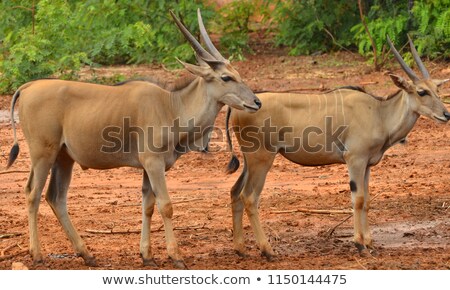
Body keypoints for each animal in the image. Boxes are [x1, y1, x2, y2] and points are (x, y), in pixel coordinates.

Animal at [6, 10, 260, 270]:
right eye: (226, 77)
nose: (256, 102)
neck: (171, 107)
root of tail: (28, 86)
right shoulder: (154, 163)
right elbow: (166, 206)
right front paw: (176, 256)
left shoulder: (149, 168)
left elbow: (148, 206)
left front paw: (147, 255)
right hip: (43, 154)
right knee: (32, 194)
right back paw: (37, 254)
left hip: (64, 158)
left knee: (56, 198)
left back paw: (87, 254)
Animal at [227, 35, 448, 260]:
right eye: (422, 92)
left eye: (437, 91)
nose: (446, 114)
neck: (379, 113)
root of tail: (241, 107)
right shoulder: (355, 160)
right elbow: (358, 199)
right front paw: (360, 244)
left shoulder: (367, 165)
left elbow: (367, 200)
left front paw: (370, 242)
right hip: (262, 159)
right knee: (249, 197)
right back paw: (267, 250)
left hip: (250, 161)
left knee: (235, 192)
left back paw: (240, 249)